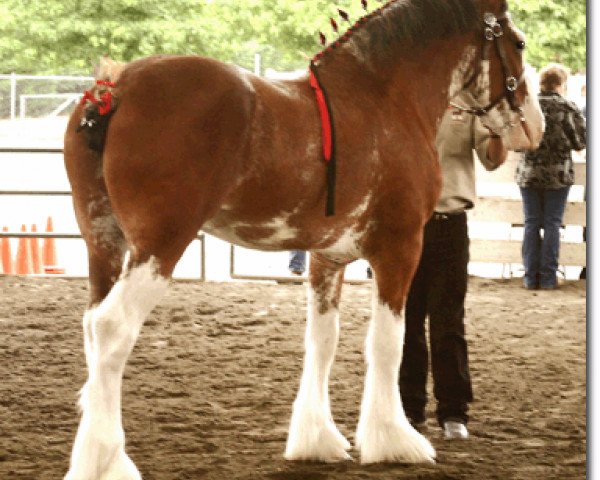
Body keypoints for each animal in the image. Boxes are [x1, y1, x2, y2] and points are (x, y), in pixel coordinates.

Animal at [62, 1, 544, 478]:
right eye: (519, 42)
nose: (534, 127)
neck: (386, 98)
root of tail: (115, 89)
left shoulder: (326, 258)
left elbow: (322, 341)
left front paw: (317, 440)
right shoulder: (399, 248)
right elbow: (387, 342)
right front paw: (394, 440)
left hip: (104, 246)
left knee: (91, 325)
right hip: (159, 247)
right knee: (112, 327)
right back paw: (105, 461)